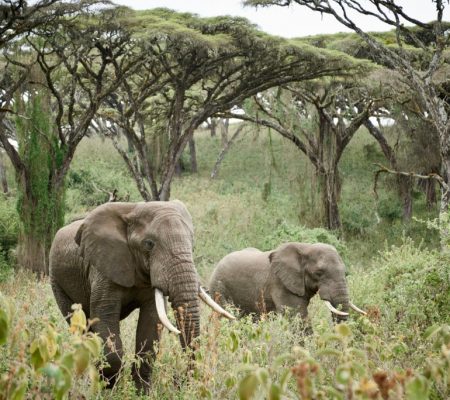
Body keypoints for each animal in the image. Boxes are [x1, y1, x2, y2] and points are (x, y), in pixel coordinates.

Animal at [48, 200, 232, 390]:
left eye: (193, 245)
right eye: (149, 244)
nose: (180, 381)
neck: (133, 210)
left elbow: (151, 323)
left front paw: (142, 391)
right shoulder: (103, 267)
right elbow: (104, 315)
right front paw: (109, 387)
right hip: (57, 280)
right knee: (80, 325)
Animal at [208, 241, 366, 322]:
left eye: (346, 273)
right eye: (319, 273)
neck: (305, 247)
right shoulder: (280, 283)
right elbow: (296, 315)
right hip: (219, 288)